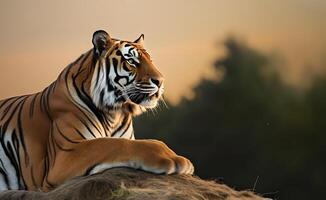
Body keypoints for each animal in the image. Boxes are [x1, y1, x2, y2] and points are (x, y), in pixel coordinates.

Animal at [0, 29, 194, 191]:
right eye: (131, 61)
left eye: (151, 60)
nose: (160, 81)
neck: (115, 113)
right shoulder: (66, 153)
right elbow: (117, 144)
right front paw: (174, 159)